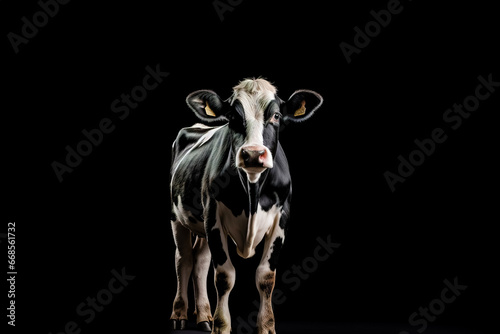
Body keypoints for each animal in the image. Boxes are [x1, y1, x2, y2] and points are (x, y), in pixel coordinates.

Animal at [170, 79, 322, 334]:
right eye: (232, 116)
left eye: (276, 115)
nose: (253, 154)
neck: (252, 191)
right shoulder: (213, 217)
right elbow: (224, 276)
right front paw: (222, 326)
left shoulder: (281, 220)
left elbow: (265, 277)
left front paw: (266, 326)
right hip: (177, 217)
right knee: (184, 260)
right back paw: (180, 314)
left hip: (201, 227)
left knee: (200, 262)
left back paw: (204, 317)